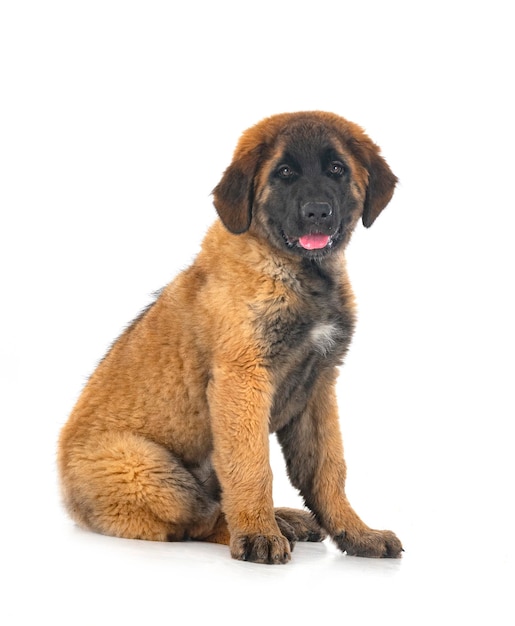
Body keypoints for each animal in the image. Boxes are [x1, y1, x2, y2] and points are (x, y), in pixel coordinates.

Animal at [56, 109, 404, 564]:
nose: (317, 212)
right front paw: (258, 534)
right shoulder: (242, 379)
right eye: (285, 172)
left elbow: (328, 469)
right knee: (199, 518)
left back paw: (285, 519)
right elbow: (252, 466)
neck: (295, 271)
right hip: (146, 468)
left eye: (336, 170)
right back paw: (269, 527)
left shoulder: (318, 386)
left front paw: (357, 533)